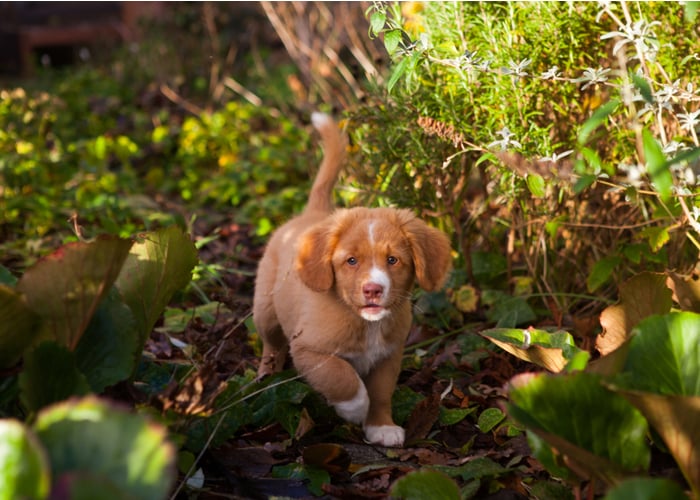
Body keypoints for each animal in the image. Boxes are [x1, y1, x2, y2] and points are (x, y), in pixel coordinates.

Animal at [254, 112, 452, 446]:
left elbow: (381, 393)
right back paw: (266, 378)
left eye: (393, 260)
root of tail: (313, 214)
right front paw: (355, 408)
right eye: (351, 261)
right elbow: (340, 376)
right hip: (266, 311)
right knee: (271, 345)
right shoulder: (308, 350)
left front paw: (381, 426)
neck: (367, 324)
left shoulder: (389, 356)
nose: (372, 289)